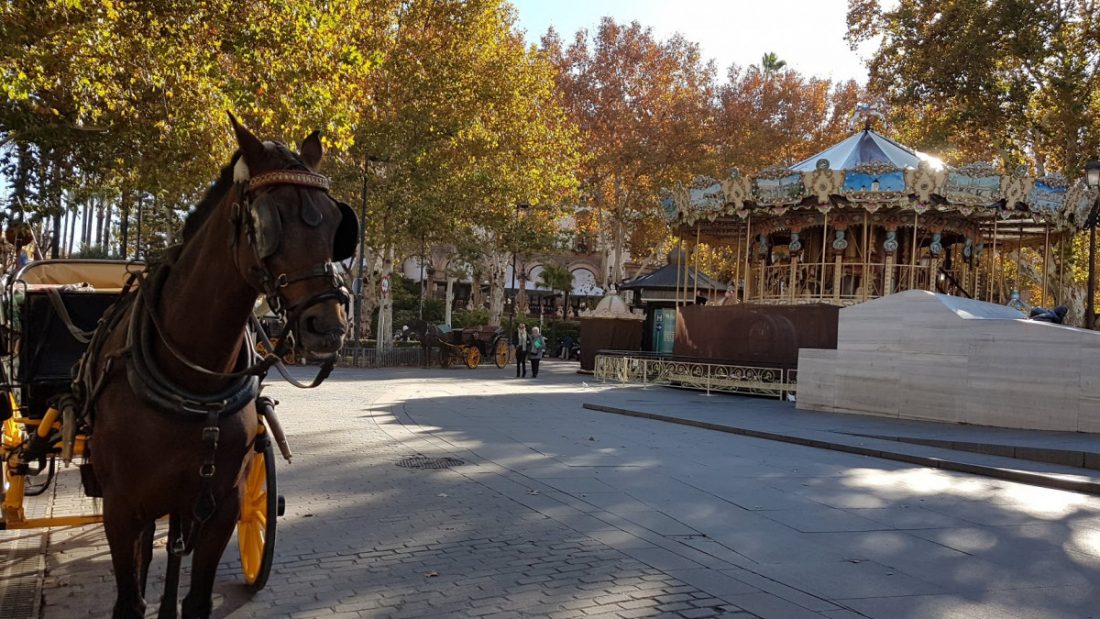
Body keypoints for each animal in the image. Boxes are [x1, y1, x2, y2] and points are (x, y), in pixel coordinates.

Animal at [83, 113, 356, 615]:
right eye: (267, 221)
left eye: (334, 223)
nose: (328, 326)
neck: (192, 378)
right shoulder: (120, 507)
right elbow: (130, 600)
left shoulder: (223, 505)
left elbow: (195, 599)